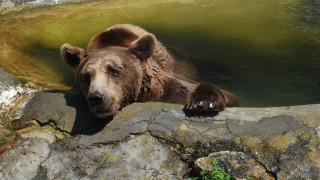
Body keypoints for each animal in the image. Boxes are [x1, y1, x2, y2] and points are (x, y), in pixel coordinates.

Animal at [62, 23, 238, 118]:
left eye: (114, 71)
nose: (96, 97)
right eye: (86, 76)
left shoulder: (165, 84)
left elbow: (228, 96)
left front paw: (203, 102)